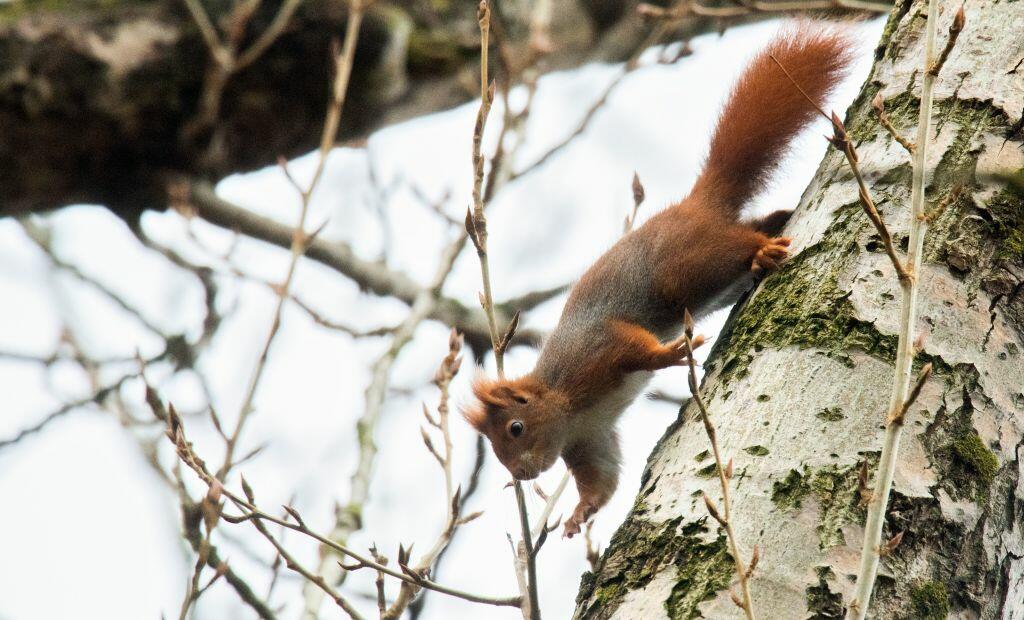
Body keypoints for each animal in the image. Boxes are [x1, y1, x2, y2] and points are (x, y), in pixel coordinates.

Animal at [463, 26, 853, 538]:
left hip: (688, 265)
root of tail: (697, 204)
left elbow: (633, 348)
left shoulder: (595, 351)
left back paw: (760, 251)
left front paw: (668, 355)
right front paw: (580, 513)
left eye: (515, 428)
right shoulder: (591, 439)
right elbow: (602, 479)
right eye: (497, 450)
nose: (523, 474)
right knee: (758, 225)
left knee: (734, 246)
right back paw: (775, 227)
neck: (562, 400)